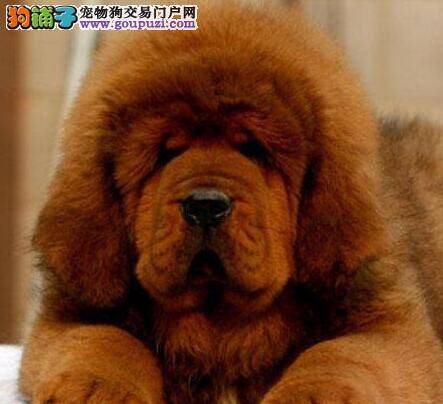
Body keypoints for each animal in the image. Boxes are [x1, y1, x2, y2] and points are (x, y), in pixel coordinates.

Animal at [19, 1, 443, 403]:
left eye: (253, 150)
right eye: (165, 154)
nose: (205, 205)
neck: (218, 323)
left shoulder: (386, 326)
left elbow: (335, 358)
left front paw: (307, 396)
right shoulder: (72, 316)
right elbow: (106, 344)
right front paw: (95, 391)